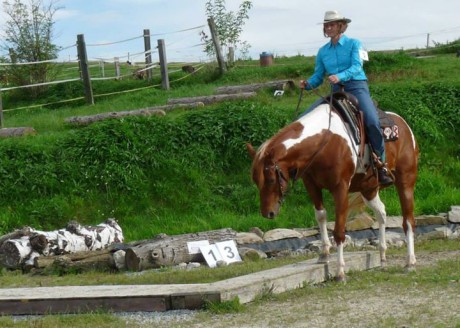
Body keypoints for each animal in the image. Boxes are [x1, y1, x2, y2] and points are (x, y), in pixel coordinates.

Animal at [248, 98, 420, 282]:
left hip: (405, 180)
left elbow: (339, 230)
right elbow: (321, 216)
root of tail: (404, 125)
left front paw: (340, 272)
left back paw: (410, 262)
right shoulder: (311, 185)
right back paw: (382, 257)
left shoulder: (341, 188)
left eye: (271, 179)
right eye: (255, 181)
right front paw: (324, 254)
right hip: (369, 188)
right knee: (381, 212)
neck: (325, 142)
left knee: (408, 221)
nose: (268, 213)